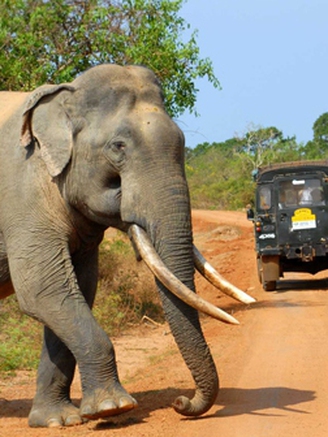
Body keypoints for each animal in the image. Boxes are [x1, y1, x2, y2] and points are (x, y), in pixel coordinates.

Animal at [0, 64, 255, 426]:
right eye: (118, 146)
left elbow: (77, 288)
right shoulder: (21, 194)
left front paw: (58, 420)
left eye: (182, 142)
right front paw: (114, 408)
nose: (181, 402)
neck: (64, 96)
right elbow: (43, 290)